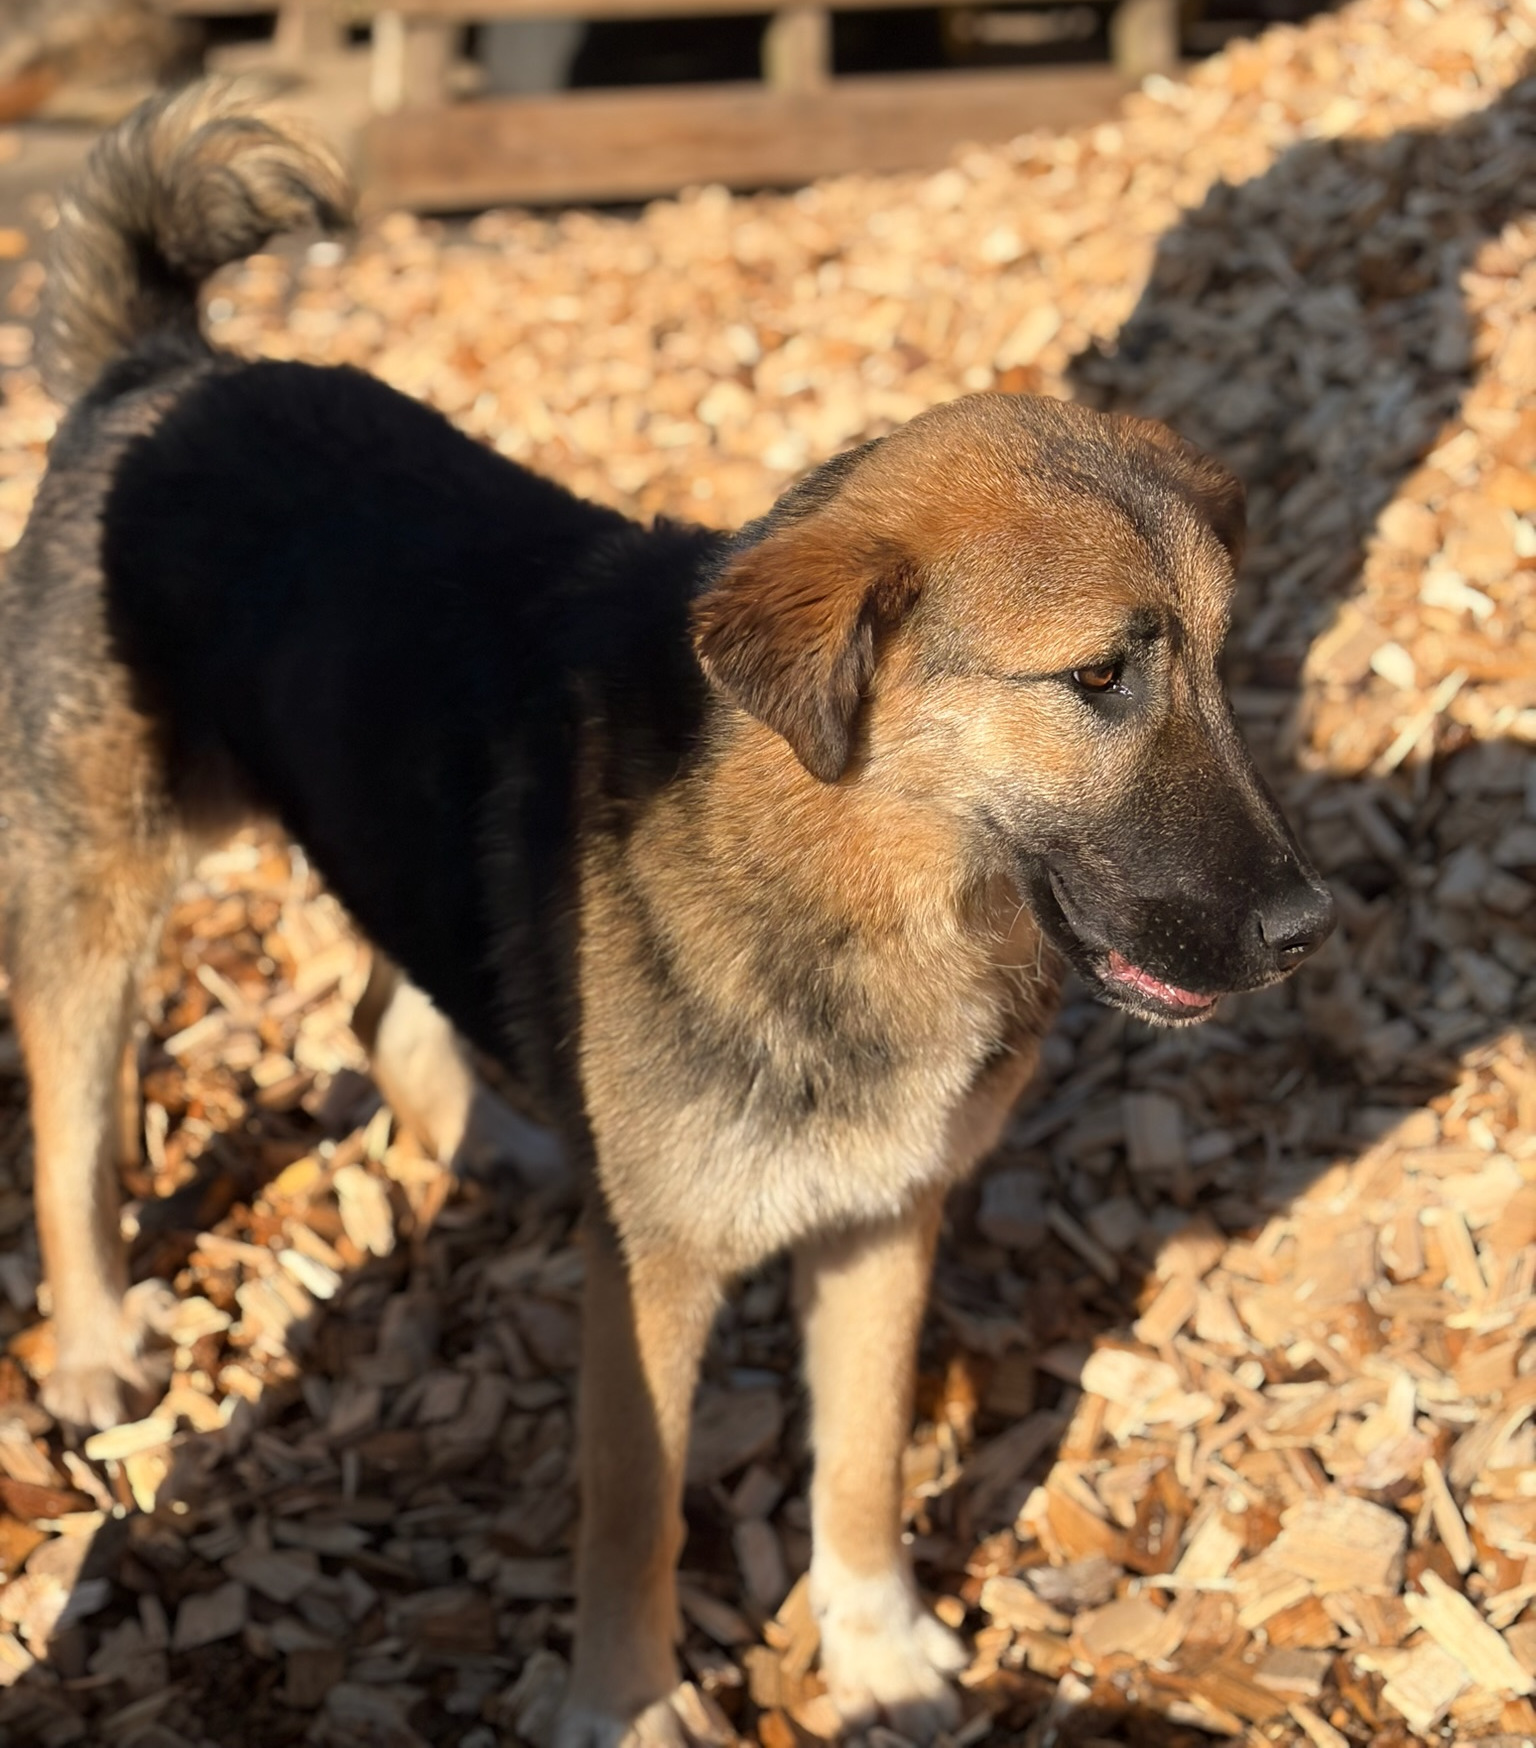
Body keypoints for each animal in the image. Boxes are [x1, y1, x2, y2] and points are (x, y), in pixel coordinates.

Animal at [1, 82, 1335, 1745]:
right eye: (1099, 677)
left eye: (1222, 662)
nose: (1309, 927)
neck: (847, 867)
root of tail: (161, 366)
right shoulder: (656, 1281)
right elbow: (635, 1508)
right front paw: (625, 1705)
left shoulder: (886, 1220)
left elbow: (865, 1460)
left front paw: (877, 1650)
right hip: (100, 882)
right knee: (71, 1101)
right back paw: (95, 1345)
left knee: (380, 1002)